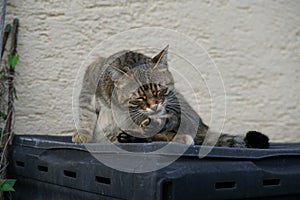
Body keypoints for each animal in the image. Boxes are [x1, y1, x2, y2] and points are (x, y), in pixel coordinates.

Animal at [73, 45, 270, 148]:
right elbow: (86, 114)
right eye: (139, 97)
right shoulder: (90, 83)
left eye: (160, 89)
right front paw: (83, 135)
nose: (154, 105)